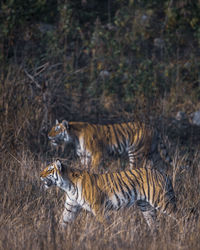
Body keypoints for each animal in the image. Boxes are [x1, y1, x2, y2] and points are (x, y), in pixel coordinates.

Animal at [40, 160, 177, 230]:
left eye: (49, 170)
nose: (40, 175)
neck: (67, 187)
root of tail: (163, 173)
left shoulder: (98, 207)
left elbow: (106, 225)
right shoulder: (71, 206)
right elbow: (64, 221)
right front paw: (59, 236)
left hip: (161, 200)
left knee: (179, 214)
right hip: (146, 206)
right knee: (154, 224)